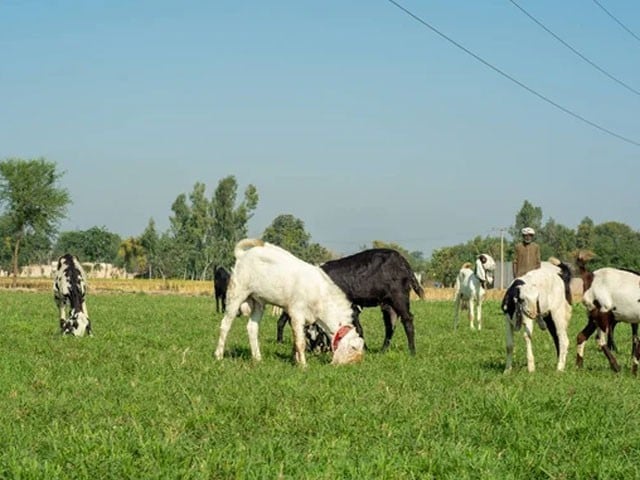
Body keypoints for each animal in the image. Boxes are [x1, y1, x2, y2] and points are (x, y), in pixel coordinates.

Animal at [214, 239, 364, 366]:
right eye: (353, 347)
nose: (355, 363)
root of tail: (243, 255)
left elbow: (296, 340)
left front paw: (295, 360)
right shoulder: (296, 313)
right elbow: (300, 342)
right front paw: (303, 365)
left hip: (258, 302)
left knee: (252, 328)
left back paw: (257, 358)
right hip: (236, 293)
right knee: (225, 325)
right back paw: (219, 355)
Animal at [276, 248, 424, 354]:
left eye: (314, 336)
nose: (313, 351)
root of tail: (403, 261)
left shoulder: (351, 309)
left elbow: (357, 328)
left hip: (399, 297)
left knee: (407, 320)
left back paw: (412, 352)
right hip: (387, 304)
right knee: (390, 325)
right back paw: (382, 351)